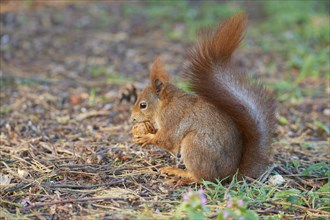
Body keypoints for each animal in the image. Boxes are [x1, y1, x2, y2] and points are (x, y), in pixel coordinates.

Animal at [129, 12, 276, 183]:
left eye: (143, 105)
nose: (132, 119)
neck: (165, 103)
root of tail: (229, 174)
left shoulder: (172, 118)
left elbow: (167, 140)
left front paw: (145, 138)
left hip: (194, 145)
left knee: (201, 178)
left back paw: (179, 175)